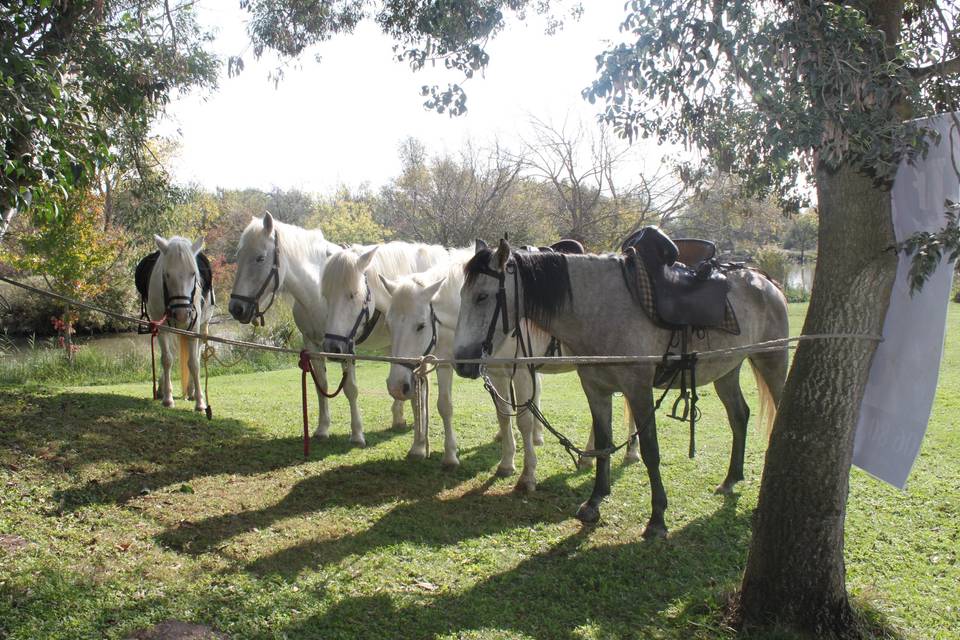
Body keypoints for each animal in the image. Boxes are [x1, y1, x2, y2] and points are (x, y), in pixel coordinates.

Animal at [147, 235, 215, 410]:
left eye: (193, 274)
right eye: (166, 275)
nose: (183, 314)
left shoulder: (193, 328)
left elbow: (194, 363)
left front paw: (200, 402)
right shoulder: (161, 328)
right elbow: (166, 359)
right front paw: (168, 398)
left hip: (202, 329)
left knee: (196, 355)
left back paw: (192, 391)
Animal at [229, 212, 404, 442]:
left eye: (260, 258)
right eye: (238, 256)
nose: (236, 308)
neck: (319, 295)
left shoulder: (346, 347)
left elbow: (350, 389)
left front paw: (357, 434)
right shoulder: (312, 345)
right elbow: (321, 385)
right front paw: (322, 429)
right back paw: (399, 418)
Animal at [376, 245, 636, 490]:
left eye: (420, 325)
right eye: (388, 324)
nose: (396, 386)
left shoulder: (521, 373)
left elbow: (524, 421)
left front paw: (528, 475)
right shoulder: (485, 372)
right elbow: (492, 413)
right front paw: (502, 462)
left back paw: (627, 453)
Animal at [452, 238, 788, 536]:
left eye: (482, 296)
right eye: (462, 295)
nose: (461, 362)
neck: (602, 309)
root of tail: (764, 279)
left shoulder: (638, 389)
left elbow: (651, 450)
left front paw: (657, 518)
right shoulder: (595, 388)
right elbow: (603, 443)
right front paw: (594, 502)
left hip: (771, 360)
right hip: (727, 370)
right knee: (739, 416)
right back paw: (731, 479)